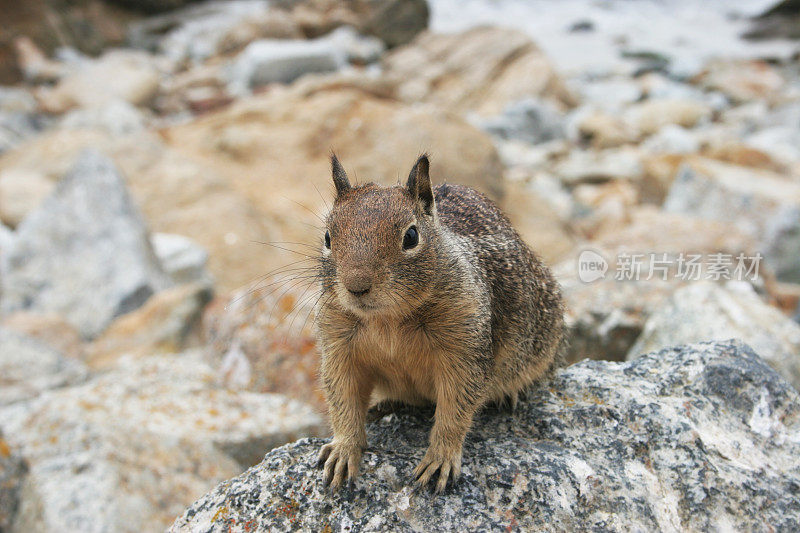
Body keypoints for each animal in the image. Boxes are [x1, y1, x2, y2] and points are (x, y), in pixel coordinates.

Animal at [316, 153, 564, 490]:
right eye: (328, 237)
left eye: (411, 236)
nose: (356, 286)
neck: (387, 319)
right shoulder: (339, 348)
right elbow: (343, 401)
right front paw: (342, 450)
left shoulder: (464, 349)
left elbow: (455, 409)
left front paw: (440, 459)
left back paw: (511, 393)